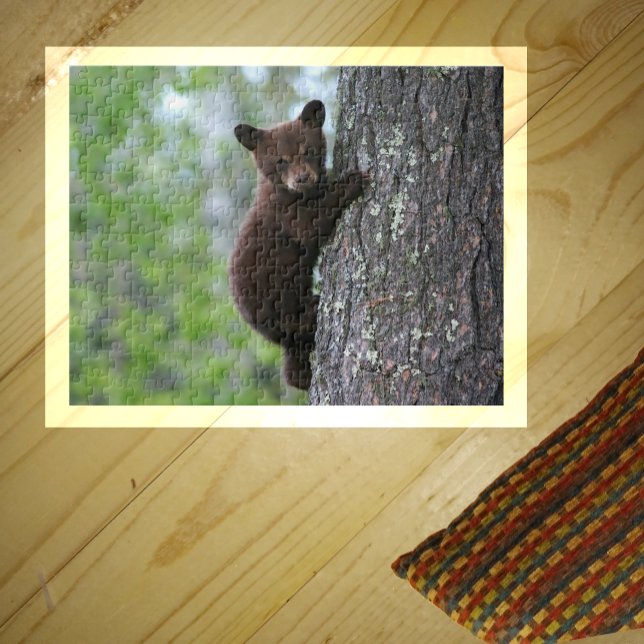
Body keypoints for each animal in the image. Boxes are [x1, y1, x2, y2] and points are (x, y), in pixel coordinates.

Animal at [230, 99, 369, 390]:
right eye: (280, 161)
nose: (302, 178)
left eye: (308, 151)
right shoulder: (286, 213)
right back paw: (314, 307)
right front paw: (352, 181)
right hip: (275, 299)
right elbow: (311, 225)